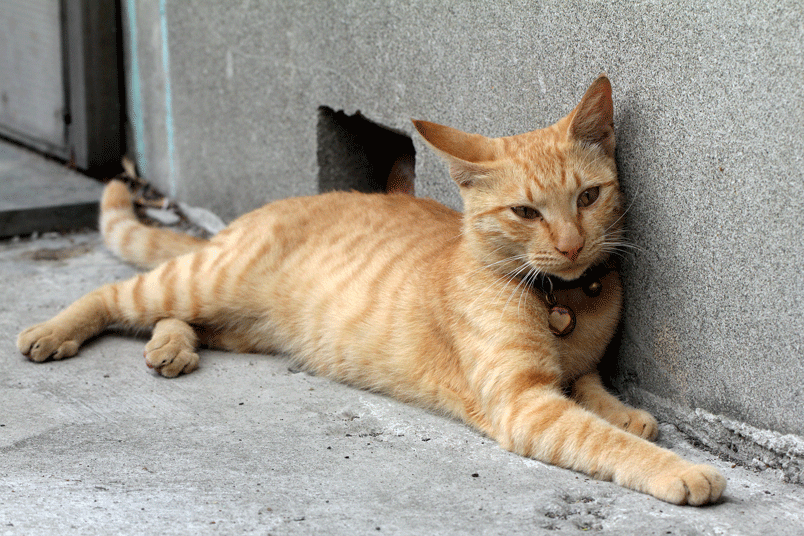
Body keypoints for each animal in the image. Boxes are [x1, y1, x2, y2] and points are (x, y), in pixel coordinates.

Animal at [17, 75, 725, 505]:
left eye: (589, 197)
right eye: (526, 212)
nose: (574, 245)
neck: (563, 299)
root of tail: (256, 215)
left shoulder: (570, 373)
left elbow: (592, 391)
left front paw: (627, 412)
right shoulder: (524, 402)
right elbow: (600, 439)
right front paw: (676, 467)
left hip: (240, 325)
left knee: (176, 319)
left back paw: (171, 348)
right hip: (204, 280)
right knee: (119, 293)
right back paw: (51, 332)